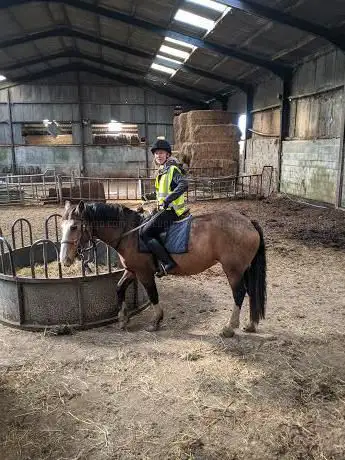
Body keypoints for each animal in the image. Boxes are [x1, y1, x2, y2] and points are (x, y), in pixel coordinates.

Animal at [59, 199, 266, 336]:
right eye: (62, 227)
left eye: (74, 227)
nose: (64, 259)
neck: (129, 233)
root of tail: (249, 222)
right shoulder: (132, 270)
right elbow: (119, 288)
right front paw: (123, 318)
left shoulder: (144, 273)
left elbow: (153, 295)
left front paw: (155, 321)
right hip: (244, 269)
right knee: (251, 292)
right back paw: (251, 324)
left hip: (233, 270)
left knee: (239, 293)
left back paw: (230, 327)